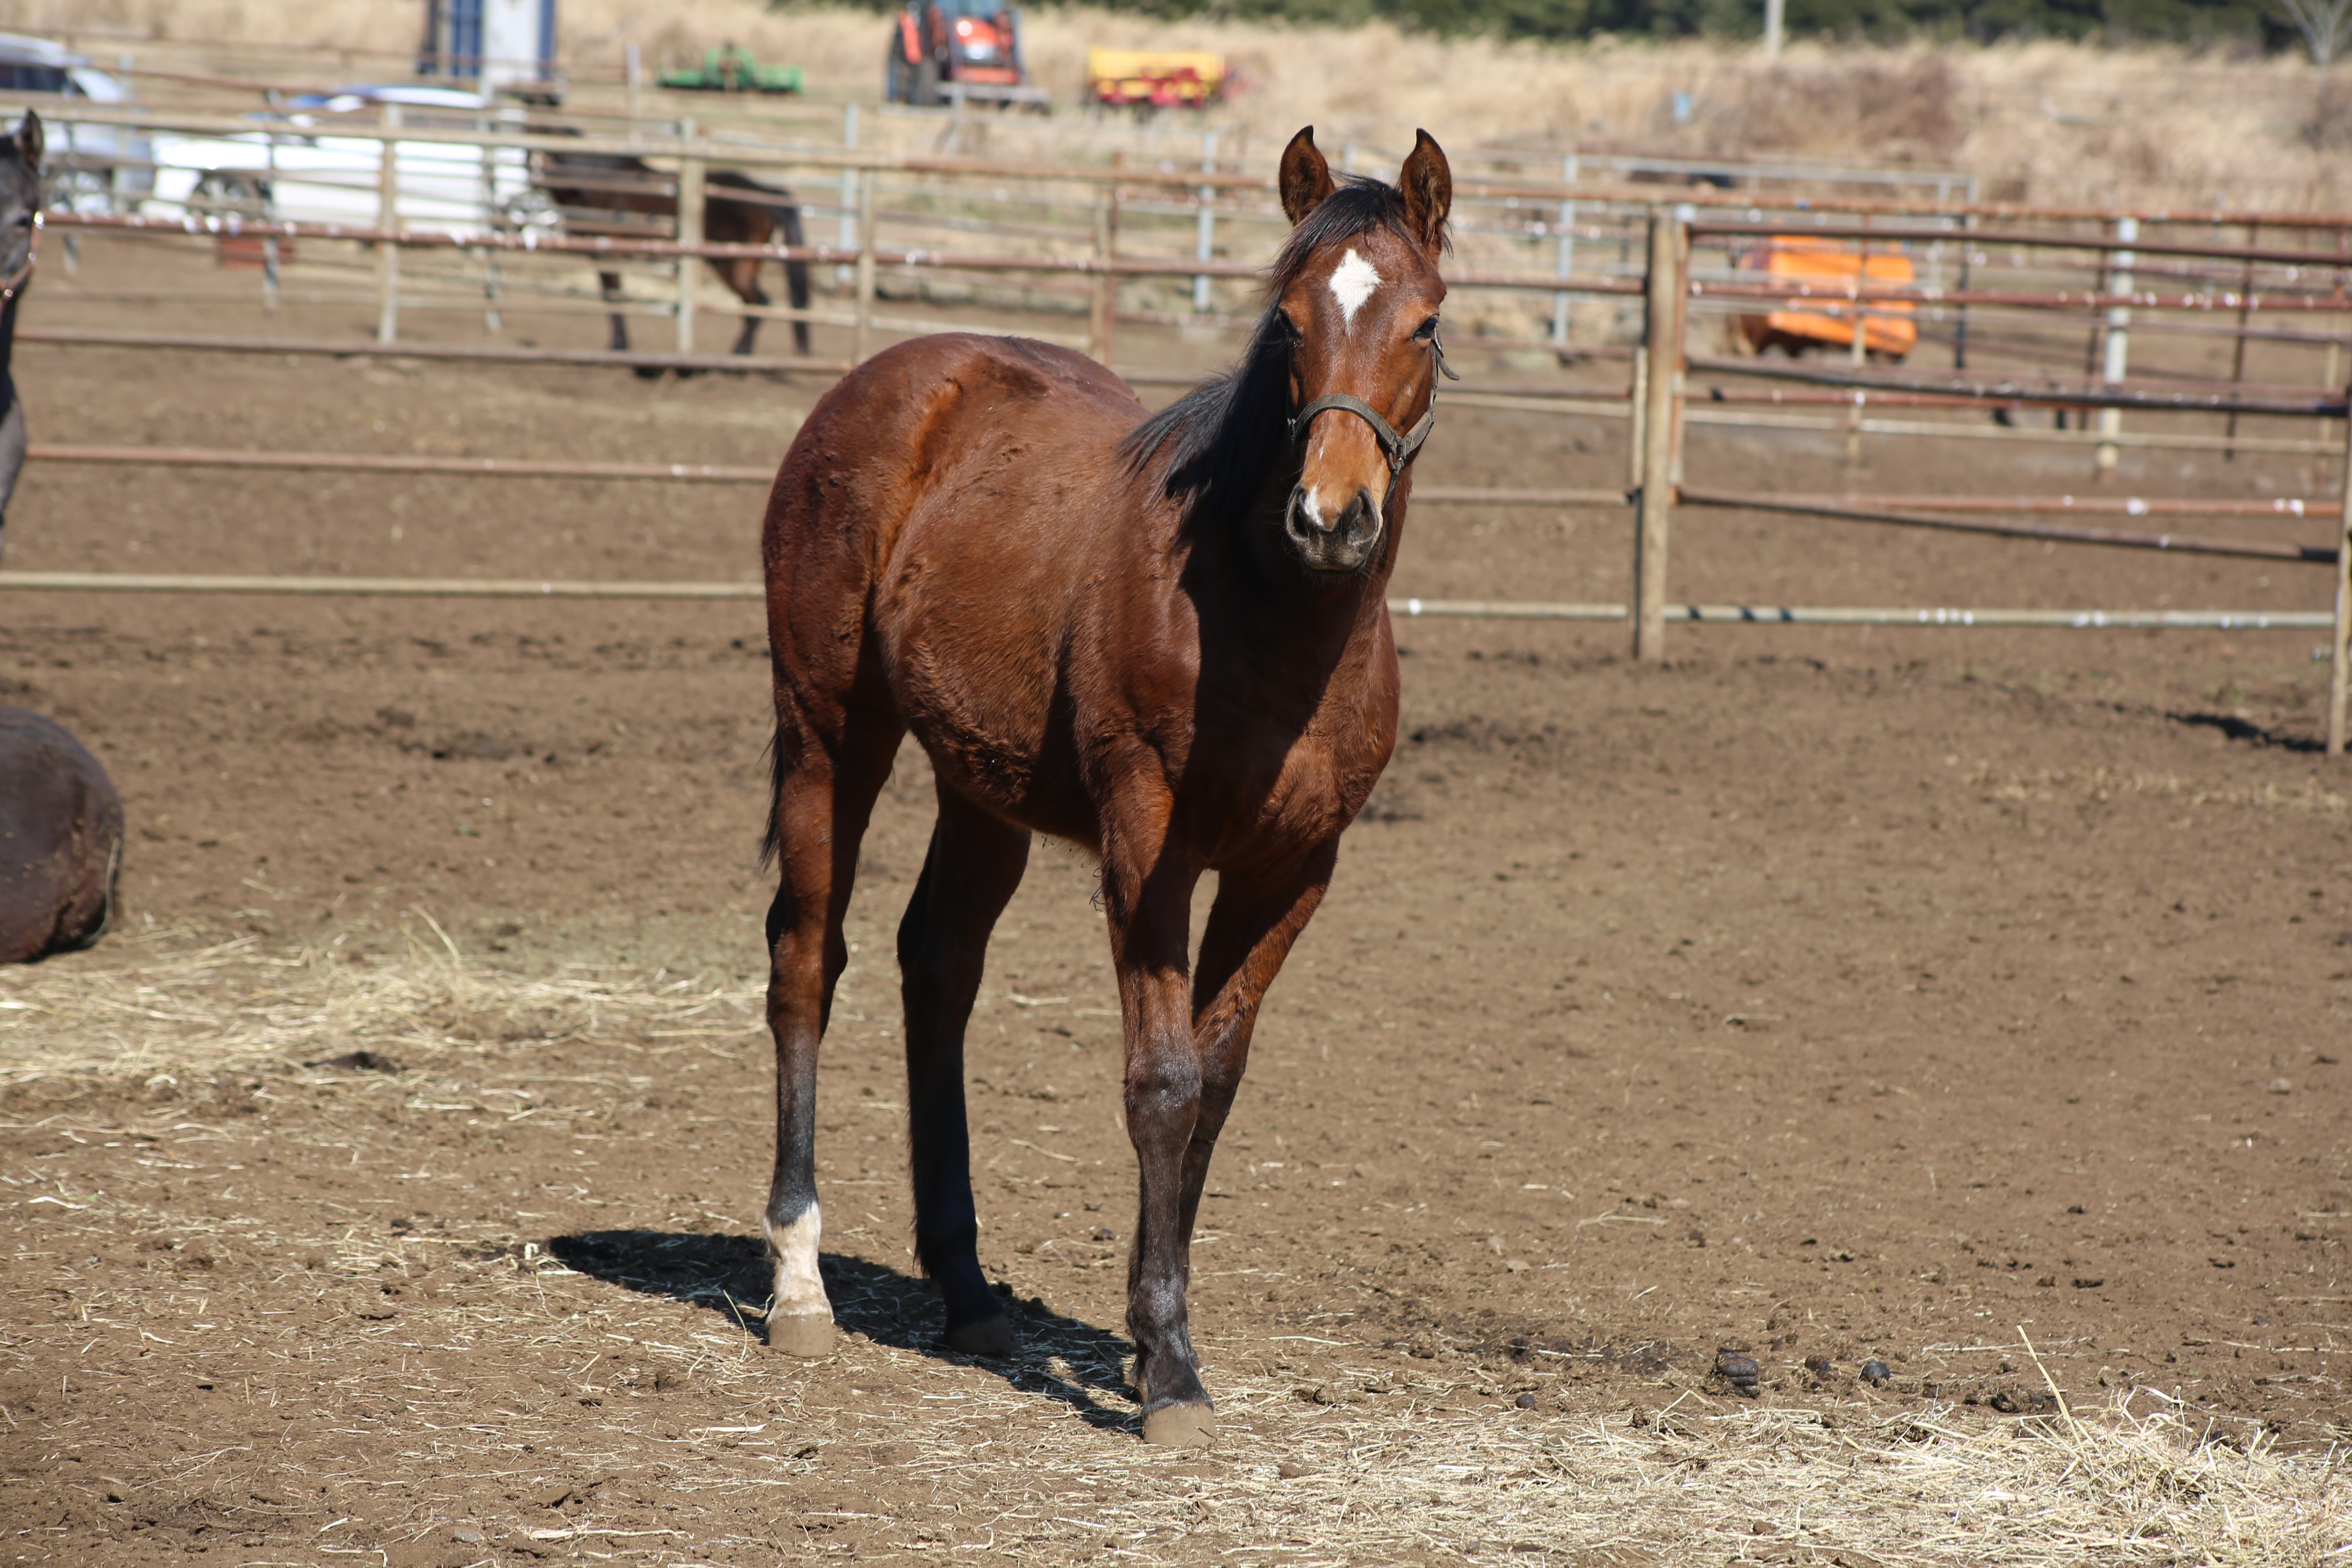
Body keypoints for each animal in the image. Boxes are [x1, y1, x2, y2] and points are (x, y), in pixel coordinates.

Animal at [539, 141, 813, 369]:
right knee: (753, 305)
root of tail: (764, 193)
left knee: (759, 301)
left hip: (731, 264)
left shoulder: (605, 252)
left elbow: (613, 295)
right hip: (746, 264)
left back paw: (738, 355)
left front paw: (618, 345)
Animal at [753, 129, 1449, 1457]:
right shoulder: (1148, 848)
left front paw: (1146, 1337)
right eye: (1286, 319)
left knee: (938, 968)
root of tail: (888, 381)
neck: (1260, 616)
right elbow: (1161, 1081)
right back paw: (799, 1282)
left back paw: (968, 1291)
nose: (1330, 518)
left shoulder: (1292, 869)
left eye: (1427, 324)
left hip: (981, 790)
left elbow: (1215, 1083)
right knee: (808, 961)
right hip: (830, 736)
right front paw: (1167, 1367)